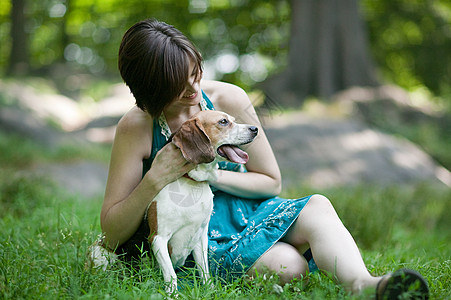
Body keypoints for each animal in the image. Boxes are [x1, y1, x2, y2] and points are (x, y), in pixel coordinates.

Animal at [149, 109, 258, 292]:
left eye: (233, 119)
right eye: (223, 121)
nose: (255, 129)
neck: (191, 183)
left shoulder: (200, 236)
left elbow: (204, 270)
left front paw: (210, 290)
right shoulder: (158, 238)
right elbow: (171, 275)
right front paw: (172, 294)